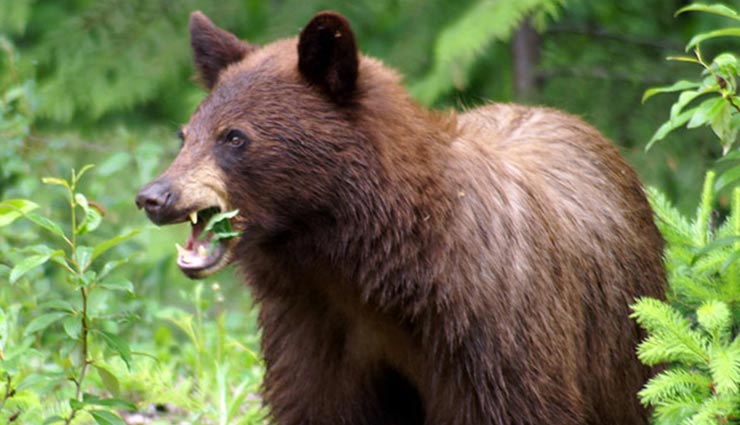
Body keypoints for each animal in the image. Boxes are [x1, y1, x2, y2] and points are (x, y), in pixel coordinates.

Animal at [136, 11, 666, 425]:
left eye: (234, 137)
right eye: (186, 134)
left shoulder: (497, 336)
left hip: (624, 341)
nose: (153, 196)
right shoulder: (312, 331)